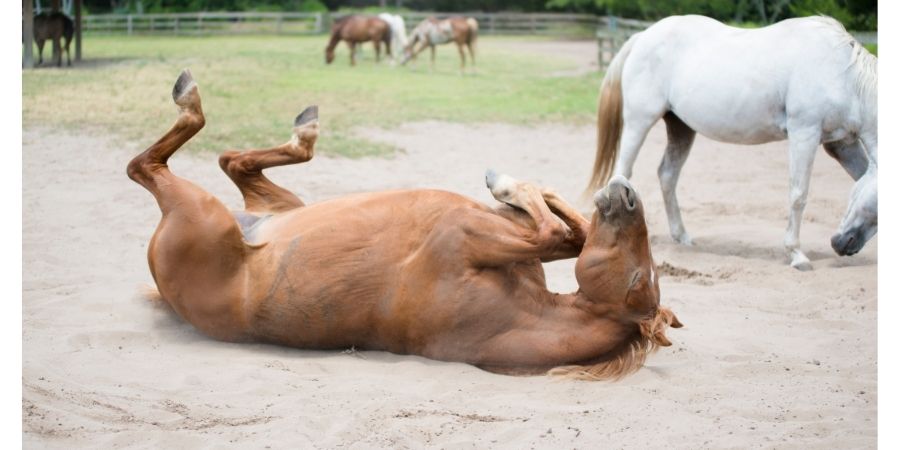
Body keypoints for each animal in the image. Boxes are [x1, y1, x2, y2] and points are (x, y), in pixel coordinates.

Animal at [126, 70, 682, 380]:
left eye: (639, 278)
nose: (627, 197)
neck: (518, 313)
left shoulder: (465, 237)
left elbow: (552, 231)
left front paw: (507, 184)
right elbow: (567, 232)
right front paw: (526, 190)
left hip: (199, 212)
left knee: (148, 166)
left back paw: (193, 100)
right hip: (275, 205)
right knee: (231, 161)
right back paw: (303, 126)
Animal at [586, 15, 877, 270]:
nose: (841, 244)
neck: (841, 73)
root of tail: (642, 37)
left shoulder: (842, 143)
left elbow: (858, 175)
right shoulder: (804, 133)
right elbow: (798, 195)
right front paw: (796, 255)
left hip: (681, 127)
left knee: (667, 175)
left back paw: (682, 237)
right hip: (640, 121)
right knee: (622, 174)